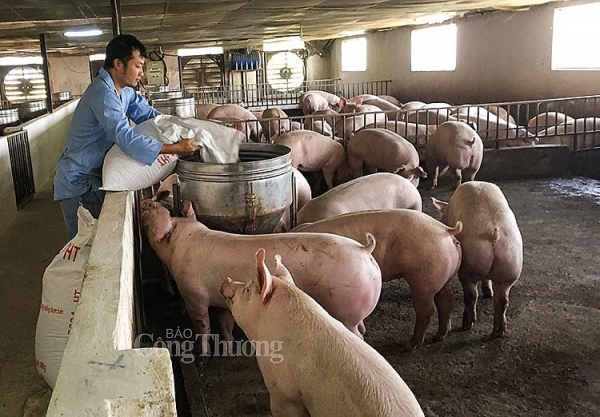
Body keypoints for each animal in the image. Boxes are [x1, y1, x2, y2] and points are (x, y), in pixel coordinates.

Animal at [292, 210, 462, 350]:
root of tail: (446, 230)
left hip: (423, 278)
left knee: (427, 310)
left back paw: (410, 346)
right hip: (440, 276)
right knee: (447, 300)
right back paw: (439, 337)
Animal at [432, 180, 524, 336]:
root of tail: (493, 235)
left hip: (470, 266)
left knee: (471, 295)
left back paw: (466, 325)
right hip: (510, 265)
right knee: (502, 299)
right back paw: (498, 332)